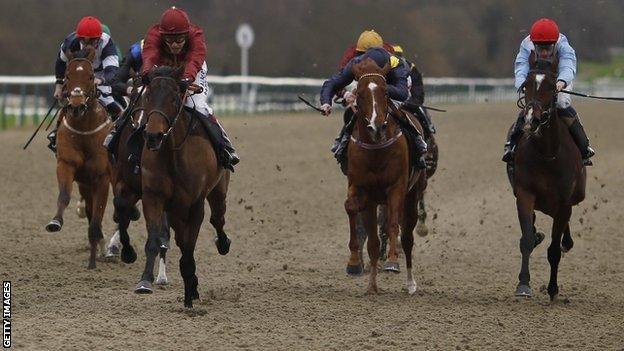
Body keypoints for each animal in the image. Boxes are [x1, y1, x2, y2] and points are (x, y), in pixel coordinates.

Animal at [45, 47, 113, 270]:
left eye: (91, 76)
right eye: (67, 75)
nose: (76, 105)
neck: (84, 131)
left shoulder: (102, 177)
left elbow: (98, 215)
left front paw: (93, 260)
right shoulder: (66, 165)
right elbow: (64, 195)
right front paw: (55, 222)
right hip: (85, 183)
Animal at [139, 66, 232, 308]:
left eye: (173, 98)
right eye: (147, 95)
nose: (153, 136)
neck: (173, 154)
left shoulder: (195, 204)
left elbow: (189, 249)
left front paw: (190, 295)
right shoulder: (153, 197)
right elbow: (155, 240)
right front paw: (145, 281)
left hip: (218, 190)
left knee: (217, 219)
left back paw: (223, 243)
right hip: (175, 209)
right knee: (181, 237)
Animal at [344, 59, 426, 296]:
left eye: (385, 92)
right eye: (359, 94)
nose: (377, 127)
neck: (375, 149)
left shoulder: (396, 187)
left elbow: (392, 225)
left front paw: (392, 261)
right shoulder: (364, 190)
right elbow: (353, 212)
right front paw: (358, 268)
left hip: (412, 194)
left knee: (407, 238)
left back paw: (410, 283)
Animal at [508, 53, 584, 302]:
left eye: (551, 86)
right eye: (526, 84)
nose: (531, 119)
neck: (547, 154)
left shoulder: (564, 202)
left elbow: (553, 250)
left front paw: (552, 289)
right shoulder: (525, 194)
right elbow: (526, 240)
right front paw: (523, 284)